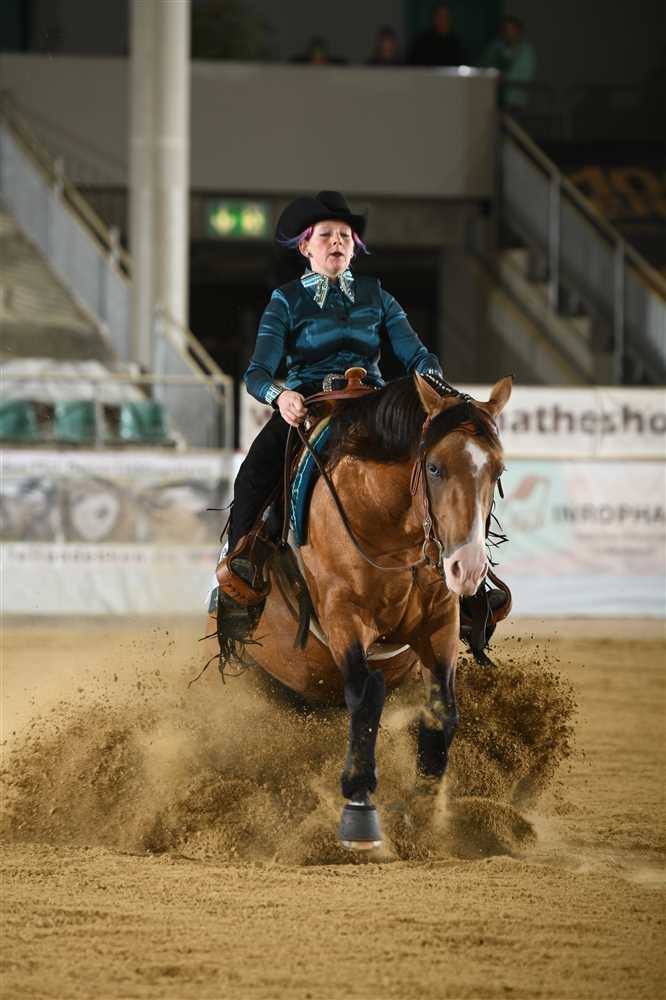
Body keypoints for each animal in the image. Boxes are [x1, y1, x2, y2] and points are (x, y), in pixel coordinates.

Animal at [209, 372, 512, 848]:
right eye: (434, 467)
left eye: (498, 471)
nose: (468, 568)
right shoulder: (344, 615)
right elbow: (365, 698)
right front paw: (358, 809)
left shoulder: (440, 620)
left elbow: (443, 708)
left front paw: (425, 813)